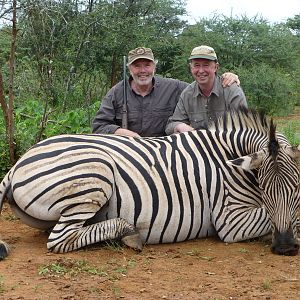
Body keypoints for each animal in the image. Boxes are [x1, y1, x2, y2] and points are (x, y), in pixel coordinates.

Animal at [0, 109, 298, 258]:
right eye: (263, 189)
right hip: (95, 173)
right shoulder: (229, 221)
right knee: (60, 239)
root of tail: (17, 165)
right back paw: (129, 233)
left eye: (296, 190)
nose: (284, 247)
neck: (228, 158)